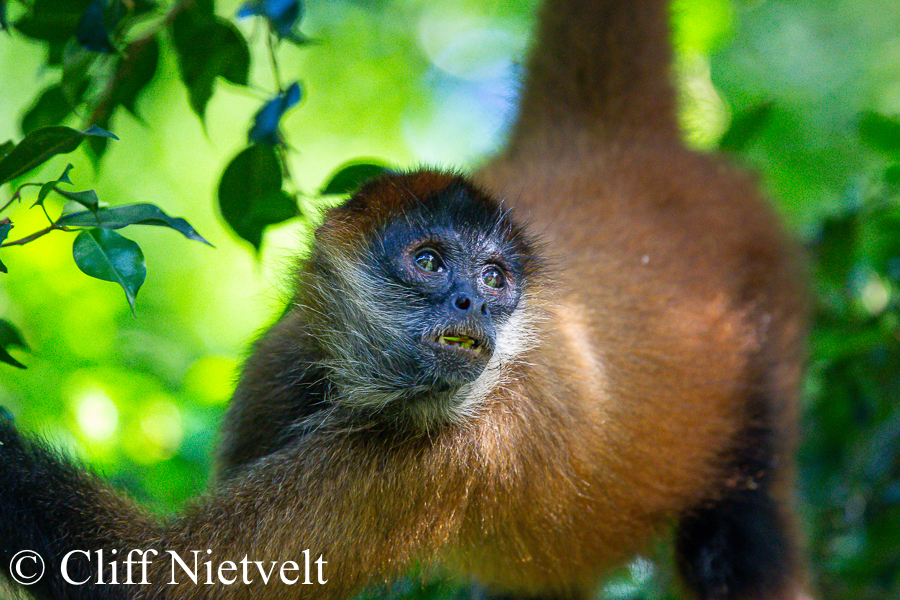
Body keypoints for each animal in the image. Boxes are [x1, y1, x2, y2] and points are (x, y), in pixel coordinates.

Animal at [0, 0, 812, 599]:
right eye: (429, 263)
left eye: (494, 280)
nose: (471, 305)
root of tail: (608, 154)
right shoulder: (285, 355)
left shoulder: (449, 449)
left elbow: (161, 580)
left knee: (736, 540)